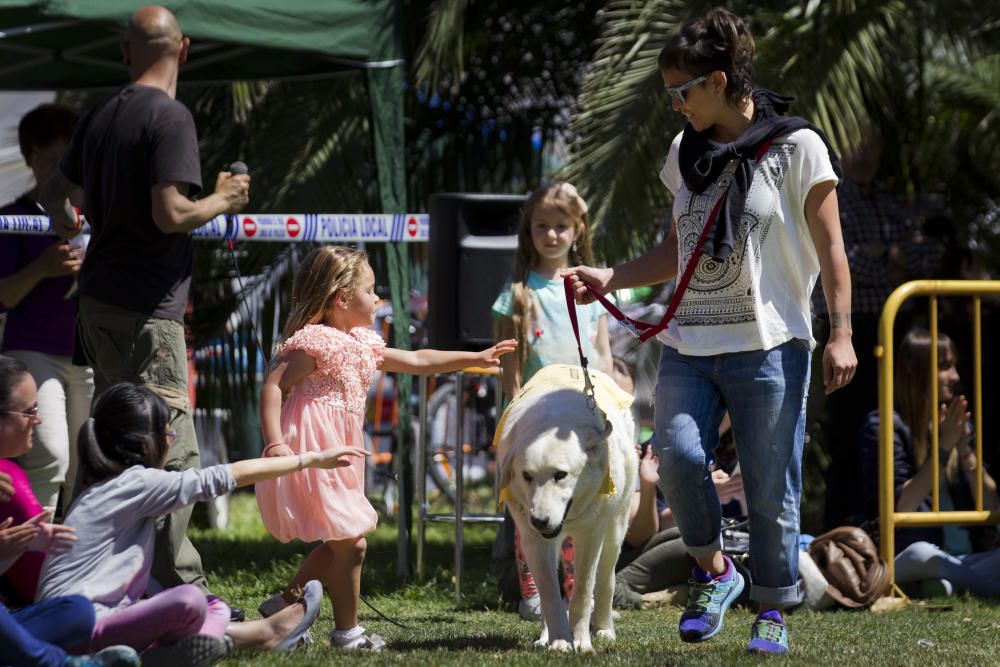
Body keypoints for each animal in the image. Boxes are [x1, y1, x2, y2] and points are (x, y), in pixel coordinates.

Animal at [494, 366, 640, 652]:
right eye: (526, 476)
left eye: (561, 475)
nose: (539, 520)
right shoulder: (533, 540)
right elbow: (549, 594)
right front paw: (560, 641)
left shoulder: (591, 535)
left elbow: (582, 593)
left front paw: (581, 643)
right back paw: (544, 637)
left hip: (615, 528)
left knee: (605, 581)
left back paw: (605, 629)